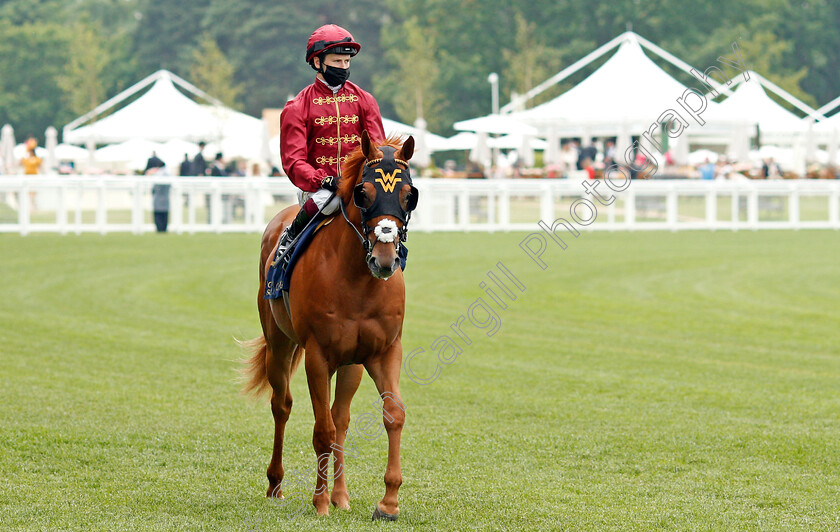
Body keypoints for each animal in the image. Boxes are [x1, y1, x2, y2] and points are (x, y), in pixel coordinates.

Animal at [241, 132, 418, 520]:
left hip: (351, 364)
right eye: (363, 193)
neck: (357, 280)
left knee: (342, 420)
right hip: (280, 345)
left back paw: (341, 495)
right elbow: (322, 429)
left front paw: (388, 501)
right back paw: (277, 484)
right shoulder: (317, 357)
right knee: (283, 405)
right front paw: (319, 502)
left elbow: (392, 415)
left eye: (408, 194)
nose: (384, 259)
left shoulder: (383, 352)